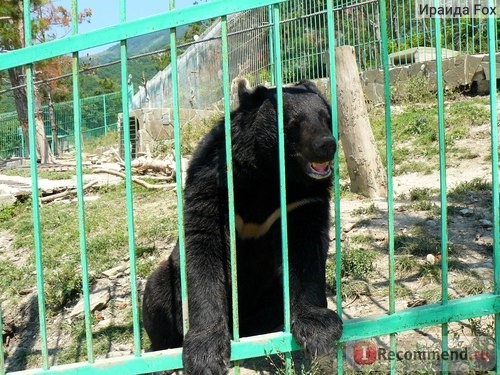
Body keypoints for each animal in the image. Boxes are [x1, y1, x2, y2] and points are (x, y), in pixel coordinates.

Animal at [143, 79, 342, 374]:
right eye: (293, 123)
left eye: (326, 119)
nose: (327, 144)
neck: (268, 172)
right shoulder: (213, 185)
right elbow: (203, 251)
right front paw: (206, 354)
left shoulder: (302, 202)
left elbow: (306, 249)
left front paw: (319, 330)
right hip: (166, 280)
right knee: (156, 294)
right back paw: (162, 356)